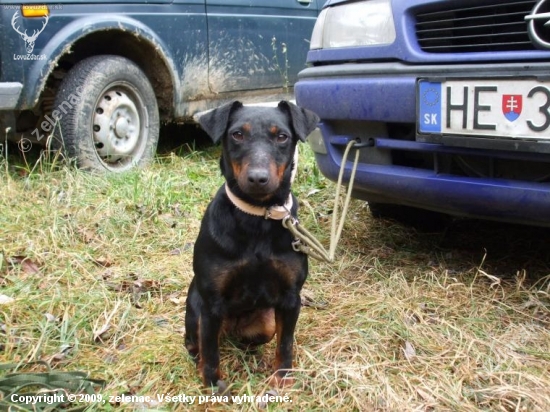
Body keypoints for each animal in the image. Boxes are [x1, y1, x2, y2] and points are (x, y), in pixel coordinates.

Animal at [185, 101, 320, 392]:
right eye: (237, 134)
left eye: (282, 137)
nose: (258, 178)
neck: (258, 217)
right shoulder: (211, 305)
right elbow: (210, 352)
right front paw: (214, 386)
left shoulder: (291, 298)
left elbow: (286, 342)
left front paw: (282, 377)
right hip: (196, 310)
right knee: (197, 343)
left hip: (265, 322)